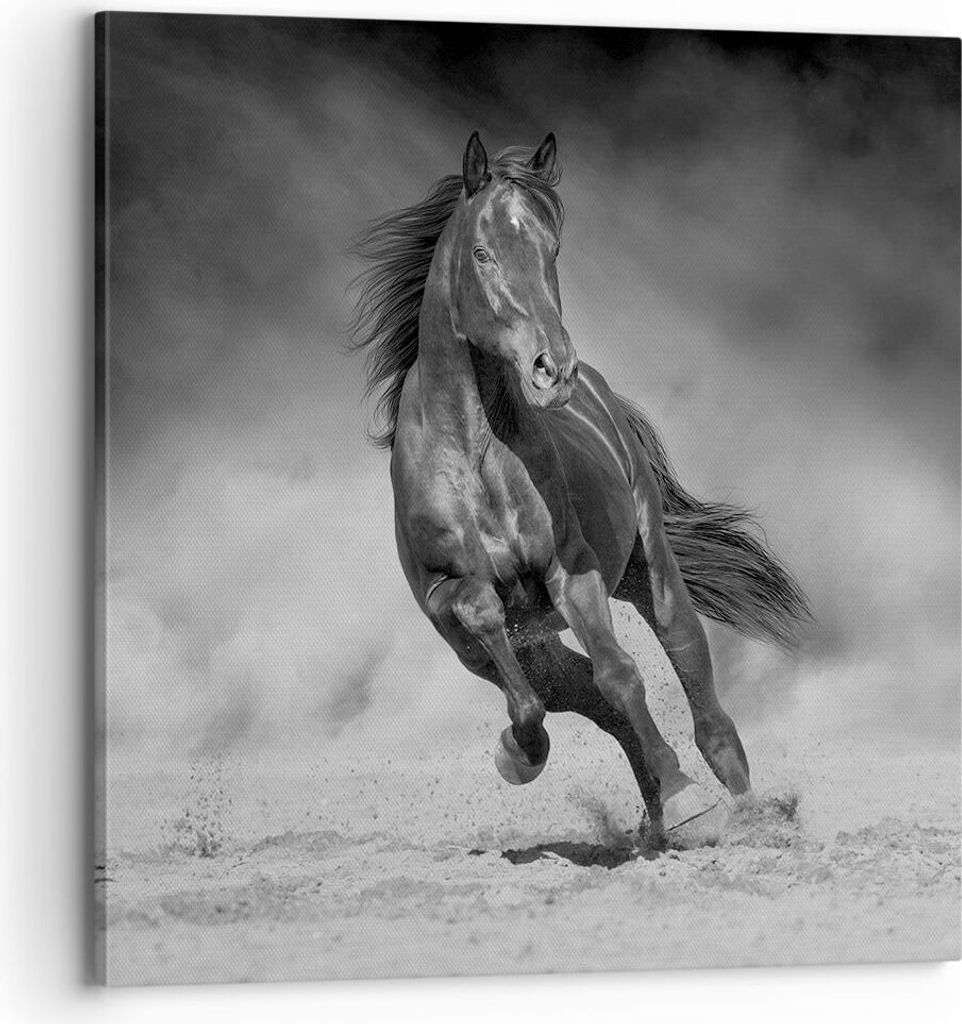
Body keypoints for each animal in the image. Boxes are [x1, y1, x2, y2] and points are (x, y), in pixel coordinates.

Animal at [352, 131, 810, 839]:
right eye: (483, 253)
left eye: (552, 249)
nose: (552, 368)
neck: (476, 455)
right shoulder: (450, 602)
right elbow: (510, 649)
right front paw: (519, 753)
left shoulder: (572, 571)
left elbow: (622, 675)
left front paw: (686, 796)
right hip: (516, 647)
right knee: (581, 696)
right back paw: (645, 811)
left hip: (649, 568)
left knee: (686, 665)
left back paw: (737, 804)